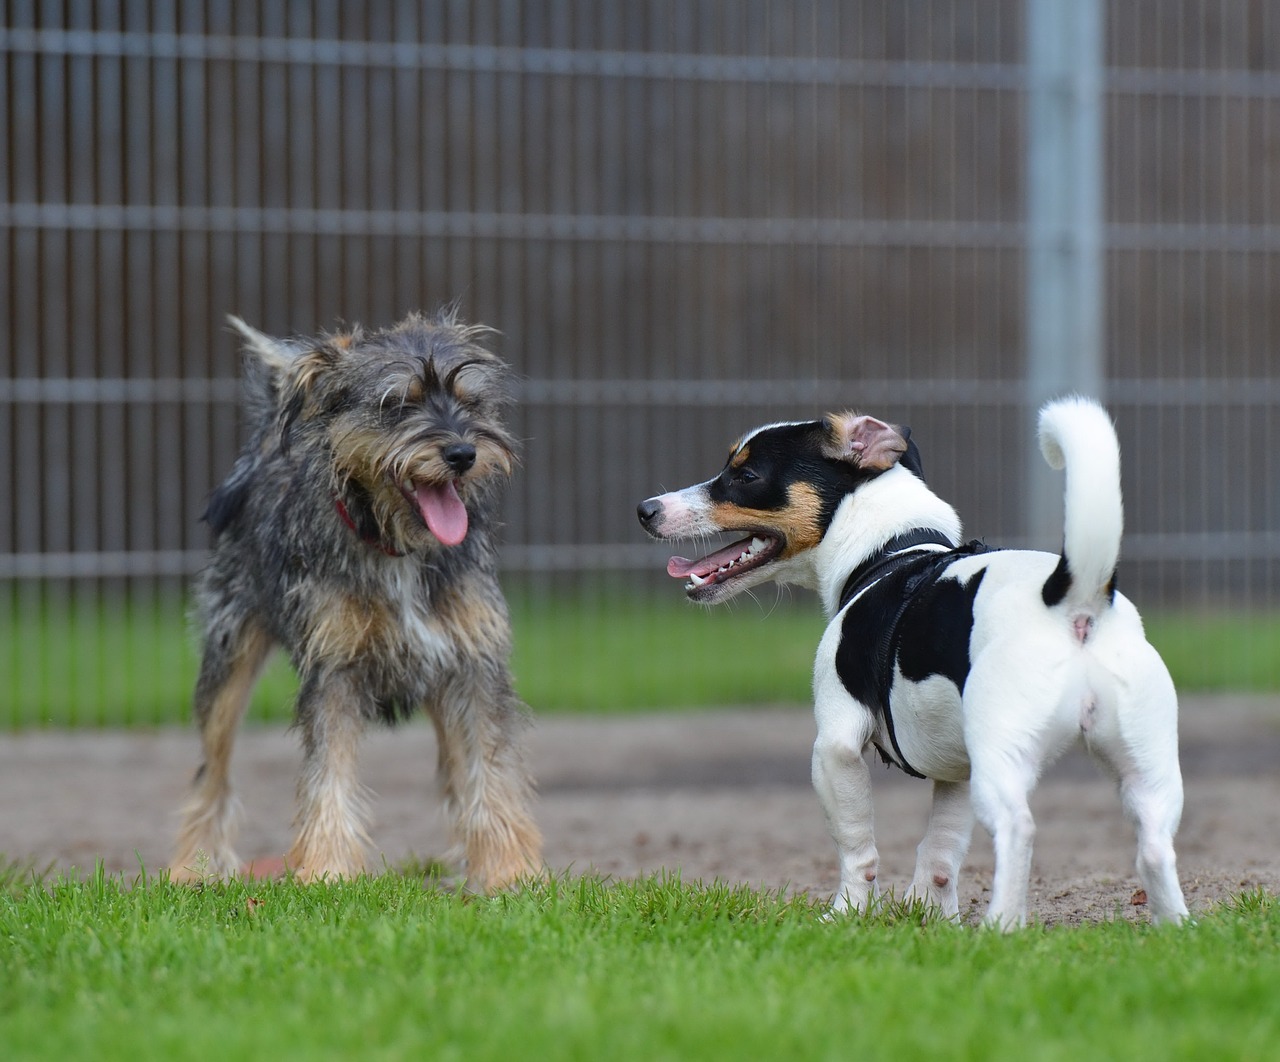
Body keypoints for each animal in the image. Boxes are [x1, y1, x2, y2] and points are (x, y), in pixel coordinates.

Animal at [170, 307, 540, 890]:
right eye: (397, 403)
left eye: (470, 402)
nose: (463, 452)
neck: (398, 548)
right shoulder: (334, 670)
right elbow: (329, 775)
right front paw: (327, 872)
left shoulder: (473, 664)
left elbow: (490, 769)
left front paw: (506, 872)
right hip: (227, 659)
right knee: (211, 770)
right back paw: (193, 867)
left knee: (456, 769)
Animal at [640, 399, 1187, 931]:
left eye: (746, 475)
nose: (646, 509)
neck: (890, 551)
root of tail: (1073, 600)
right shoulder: (956, 770)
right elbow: (941, 852)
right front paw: (932, 915)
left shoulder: (836, 745)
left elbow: (858, 851)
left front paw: (847, 914)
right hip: (1147, 770)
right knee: (1155, 850)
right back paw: (1175, 928)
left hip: (1003, 758)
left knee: (1019, 830)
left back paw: (1001, 927)